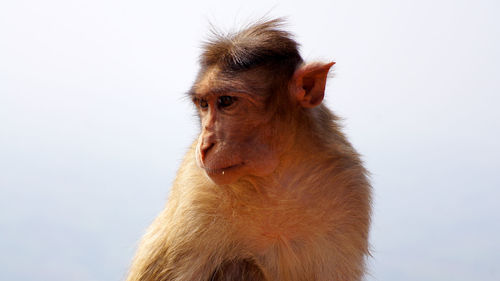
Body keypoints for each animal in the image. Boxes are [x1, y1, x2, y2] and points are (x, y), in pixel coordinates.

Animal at [126, 18, 372, 278]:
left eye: (226, 101)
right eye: (203, 104)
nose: (204, 145)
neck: (276, 176)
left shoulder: (349, 188)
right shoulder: (196, 190)